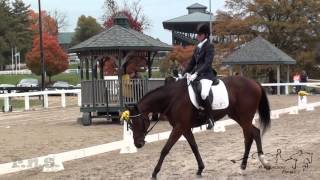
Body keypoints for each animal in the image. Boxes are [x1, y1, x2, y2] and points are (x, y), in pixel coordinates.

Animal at [124, 75, 270, 179]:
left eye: (139, 121)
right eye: (130, 124)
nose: (138, 144)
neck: (173, 99)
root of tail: (254, 82)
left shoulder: (179, 127)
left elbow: (165, 149)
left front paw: (154, 173)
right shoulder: (184, 128)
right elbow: (194, 146)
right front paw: (200, 169)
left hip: (245, 117)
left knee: (248, 137)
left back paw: (247, 166)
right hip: (238, 116)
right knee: (255, 133)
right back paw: (260, 163)